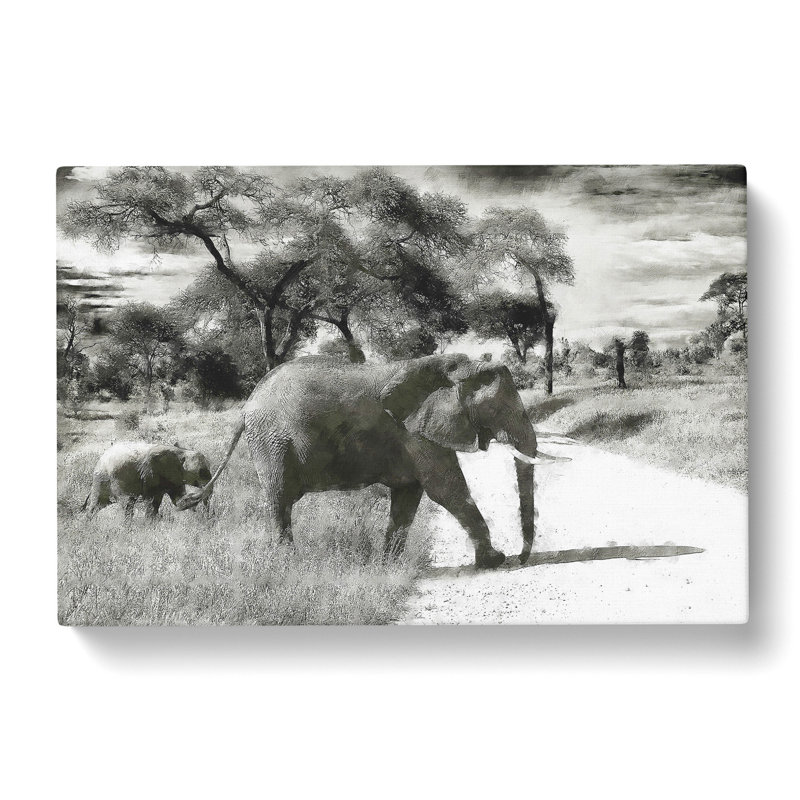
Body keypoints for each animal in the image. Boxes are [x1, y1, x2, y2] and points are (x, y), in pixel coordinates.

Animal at [82, 441, 213, 518]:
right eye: (201, 472)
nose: (208, 516)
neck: (182, 451)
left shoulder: (175, 477)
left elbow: (177, 499)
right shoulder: (150, 473)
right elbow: (151, 500)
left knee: (102, 504)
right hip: (104, 477)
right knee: (124, 504)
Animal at [178, 354, 566, 567]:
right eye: (498, 408)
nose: (521, 558)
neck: (455, 368)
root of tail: (247, 406)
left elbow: (409, 497)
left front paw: (387, 567)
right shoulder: (415, 431)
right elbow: (447, 490)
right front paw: (493, 562)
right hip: (271, 443)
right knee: (279, 501)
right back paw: (288, 563)